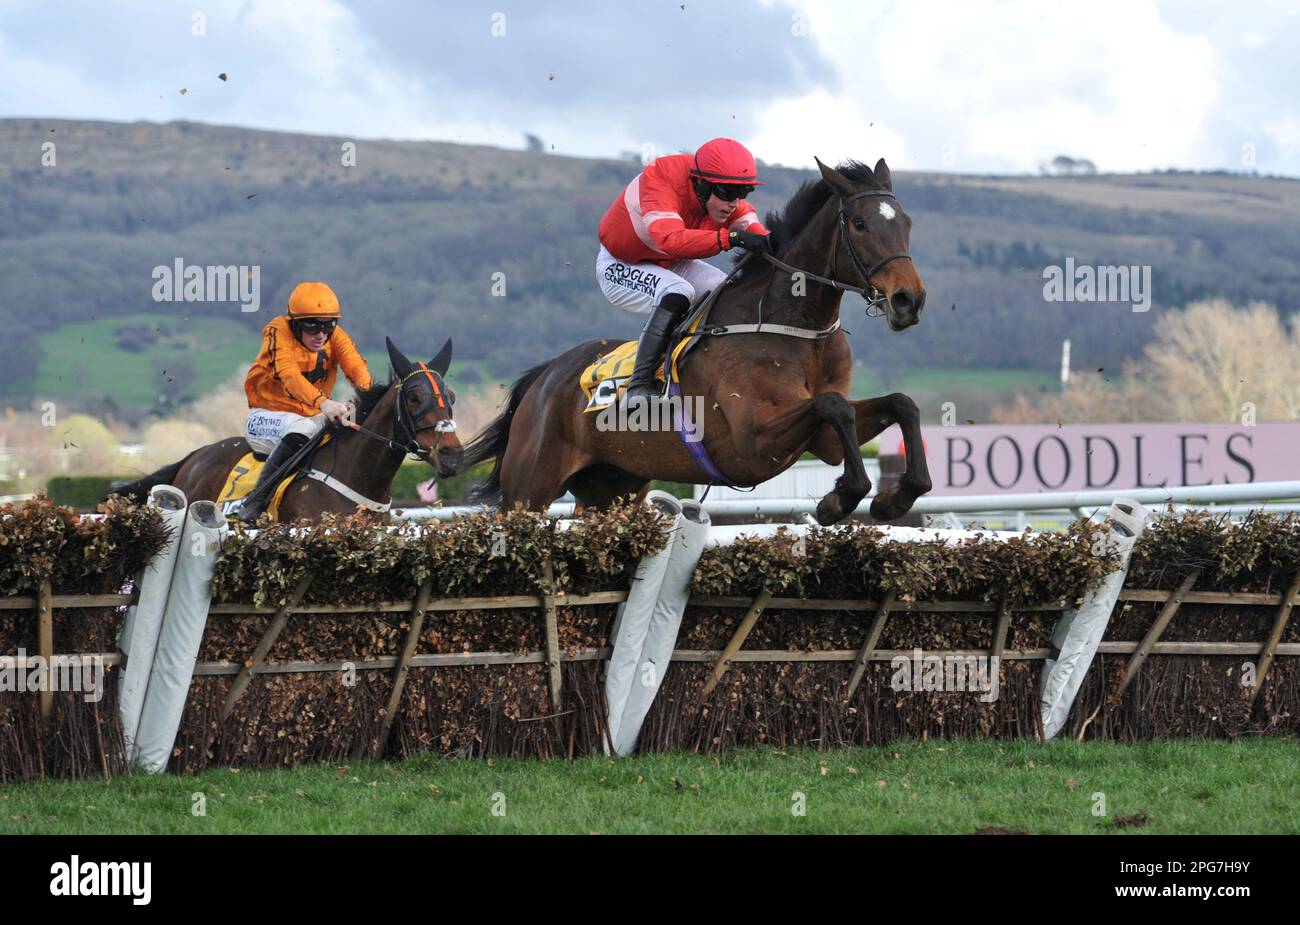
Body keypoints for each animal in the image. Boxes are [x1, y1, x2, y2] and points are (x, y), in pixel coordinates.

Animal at [467, 155, 935, 524]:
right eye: (859, 223)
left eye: (907, 223)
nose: (908, 299)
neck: (796, 328)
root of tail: (546, 375)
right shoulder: (752, 443)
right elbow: (832, 405)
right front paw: (840, 499)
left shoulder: (822, 440)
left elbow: (900, 404)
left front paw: (897, 497)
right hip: (528, 490)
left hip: (613, 488)